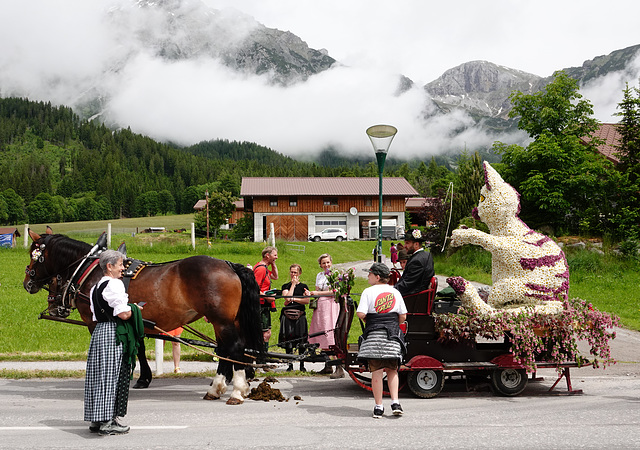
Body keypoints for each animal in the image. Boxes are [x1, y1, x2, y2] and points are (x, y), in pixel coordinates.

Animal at [22, 230, 262, 402]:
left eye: (35, 256)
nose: (27, 283)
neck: (93, 270)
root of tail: (229, 265)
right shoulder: (133, 319)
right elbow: (139, 347)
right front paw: (143, 377)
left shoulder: (96, 321)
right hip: (225, 320)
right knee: (225, 350)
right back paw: (218, 388)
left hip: (222, 320)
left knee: (234, 348)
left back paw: (236, 391)